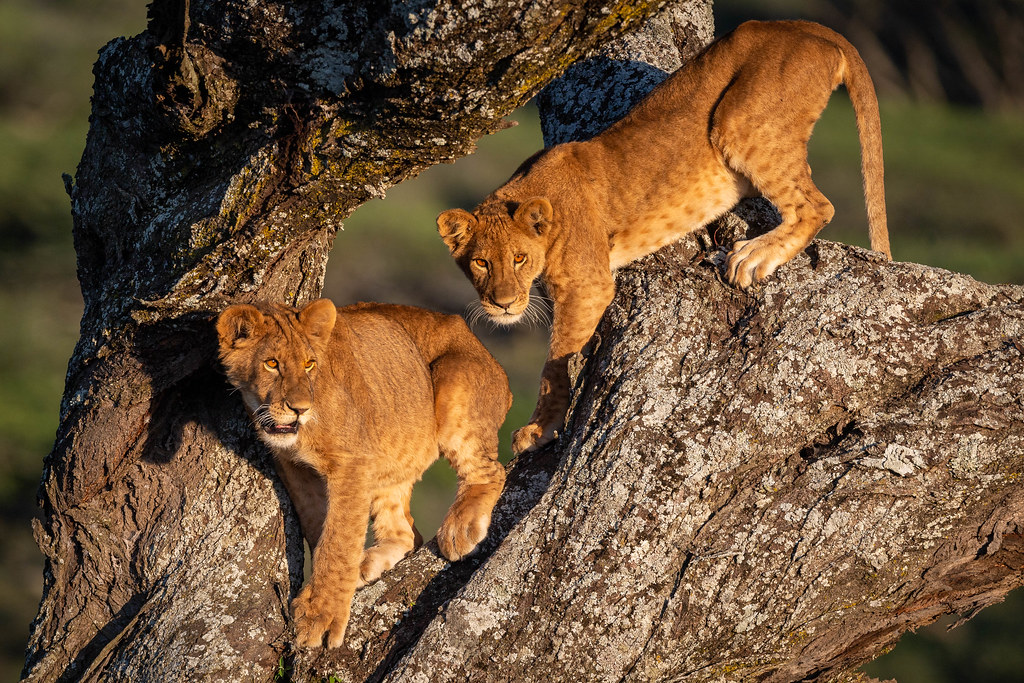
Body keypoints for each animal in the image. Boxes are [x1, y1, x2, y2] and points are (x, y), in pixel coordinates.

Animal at [216, 299, 511, 648]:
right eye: (271, 363)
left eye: (309, 365)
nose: (299, 409)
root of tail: (488, 353)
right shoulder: (294, 467)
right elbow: (319, 528)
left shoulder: (352, 463)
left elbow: (340, 538)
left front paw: (321, 615)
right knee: (407, 533)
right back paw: (367, 563)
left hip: (454, 384)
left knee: (492, 471)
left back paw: (459, 530)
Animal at [437, 20, 891, 454]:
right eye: (481, 262)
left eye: (518, 258)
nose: (502, 304)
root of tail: (805, 27)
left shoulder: (588, 285)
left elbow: (555, 362)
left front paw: (539, 429)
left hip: (739, 123)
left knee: (817, 206)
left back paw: (752, 257)